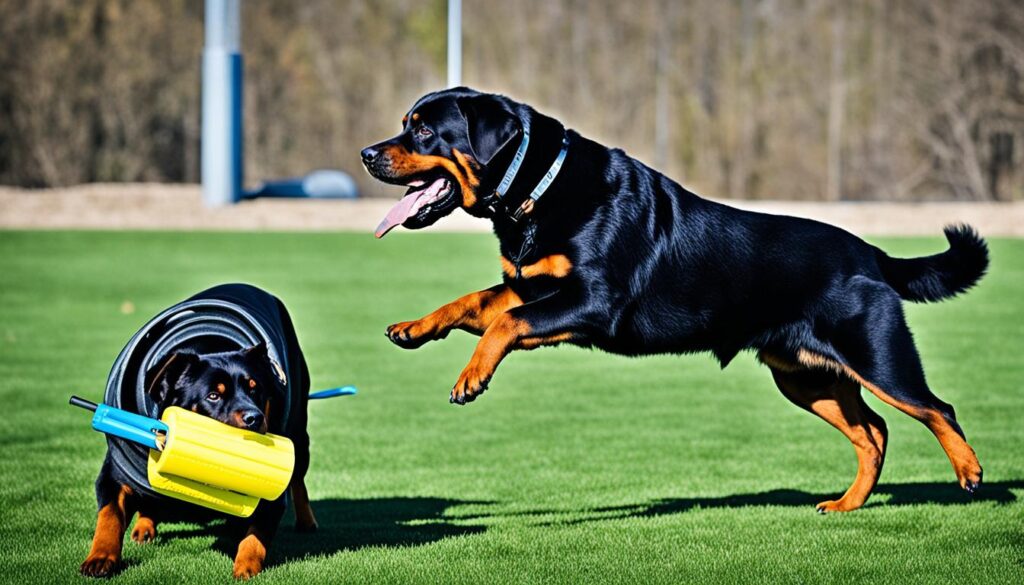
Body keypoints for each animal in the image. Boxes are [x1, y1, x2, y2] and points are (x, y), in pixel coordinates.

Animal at [364, 86, 987, 512]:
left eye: (424, 132)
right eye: (405, 126)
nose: (368, 153)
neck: (535, 193)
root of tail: (871, 254)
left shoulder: (593, 302)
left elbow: (505, 324)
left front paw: (472, 377)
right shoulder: (532, 287)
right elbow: (472, 302)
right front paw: (415, 327)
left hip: (877, 357)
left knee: (937, 409)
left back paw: (970, 473)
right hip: (805, 377)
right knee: (874, 433)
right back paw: (848, 503)